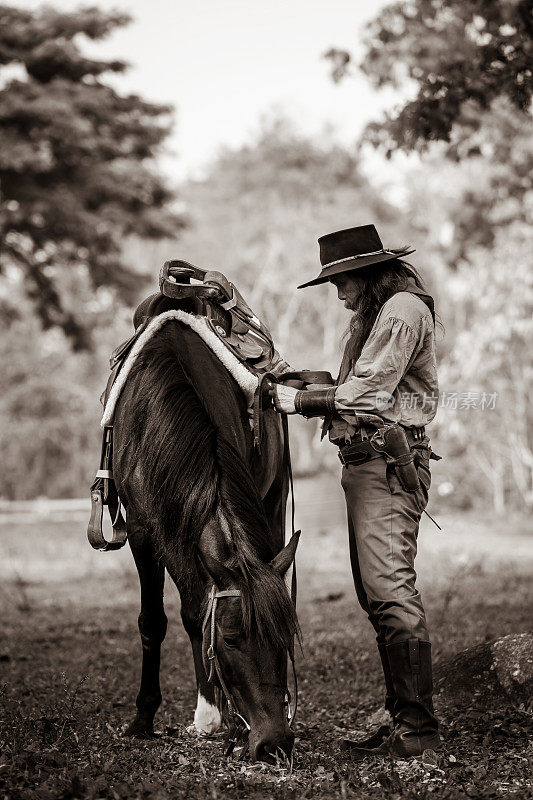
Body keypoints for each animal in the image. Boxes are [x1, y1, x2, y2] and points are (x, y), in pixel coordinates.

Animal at [111, 314, 300, 764]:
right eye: (231, 639)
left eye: (285, 635)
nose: (274, 743)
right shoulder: (144, 531)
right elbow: (160, 619)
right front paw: (144, 719)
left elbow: (198, 610)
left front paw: (218, 717)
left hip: (274, 502)